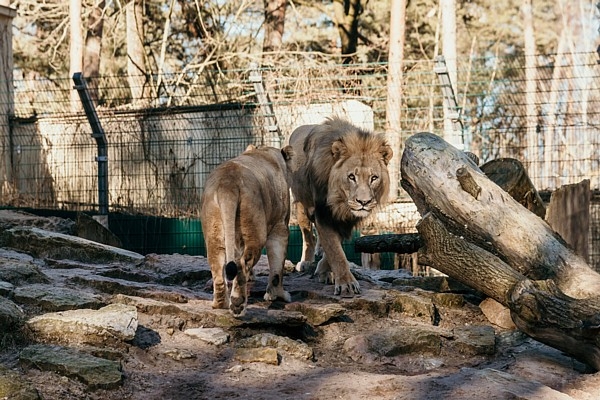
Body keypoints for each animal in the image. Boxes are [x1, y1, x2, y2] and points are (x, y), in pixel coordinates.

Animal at [200, 144, 294, 316]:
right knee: (242, 264)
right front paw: (278, 295)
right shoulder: (280, 226)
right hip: (255, 231)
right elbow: (277, 266)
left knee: (217, 264)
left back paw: (220, 304)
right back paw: (237, 304)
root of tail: (228, 183)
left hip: (214, 229)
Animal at [288, 117, 394, 296]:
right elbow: (336, 251)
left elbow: (334, 246)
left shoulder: (346, 221)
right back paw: (306, 261)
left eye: (374, 178)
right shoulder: (323, 213)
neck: (340, 202)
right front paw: (346, 284)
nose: (363, 202)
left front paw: (324, 271)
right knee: (308, 235)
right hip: (301, 204)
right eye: (351, 177)